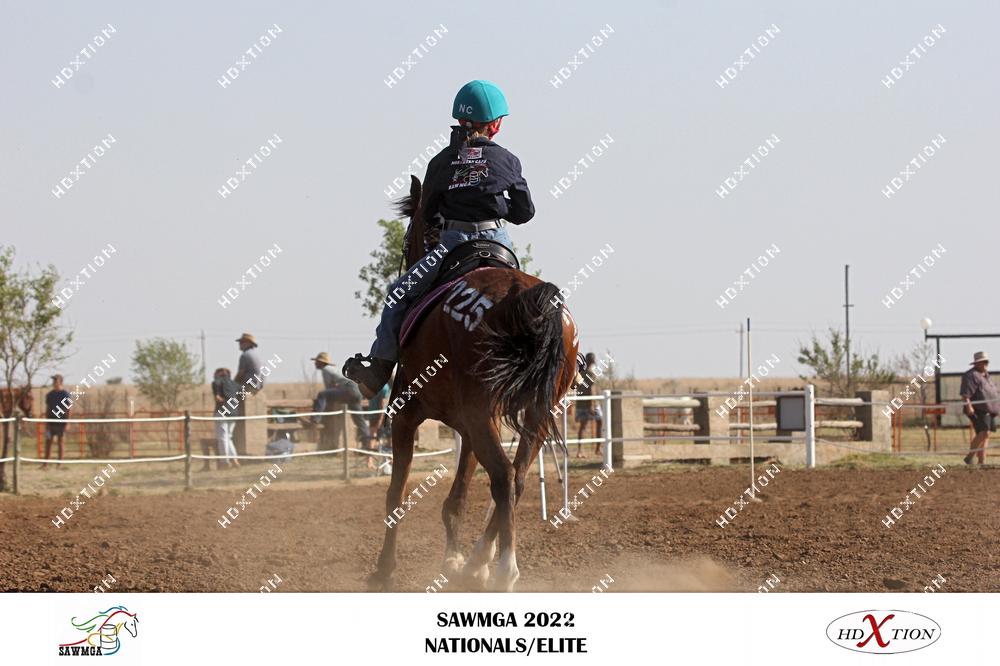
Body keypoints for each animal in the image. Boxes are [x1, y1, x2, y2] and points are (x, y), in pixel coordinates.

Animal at [368, 176, 580, 592]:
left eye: (408, 234)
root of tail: (523, 296)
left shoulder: (405, 412)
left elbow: (395, 495)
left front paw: (384, 569)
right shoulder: (471, 424)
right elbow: (458, 498)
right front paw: (454, 559)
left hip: (482, 415)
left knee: (503, 477)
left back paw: (503, 571)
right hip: (532, 413)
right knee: (515, 479)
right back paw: (480, 564)